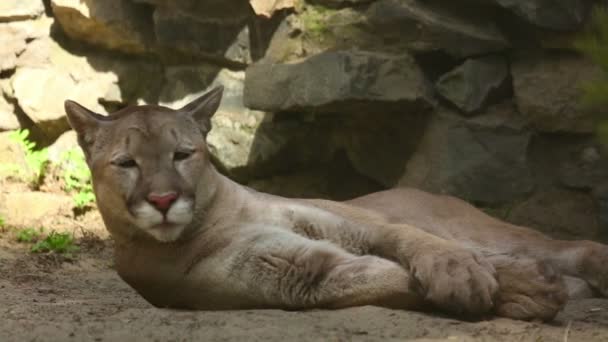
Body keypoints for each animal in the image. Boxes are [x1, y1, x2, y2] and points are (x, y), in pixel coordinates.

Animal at [64, 85, 604, 320]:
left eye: (182, 154)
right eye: (126, 163)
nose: (162, 198)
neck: (219, 216)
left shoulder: (342, 216)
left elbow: (408, 239)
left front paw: (460, 271)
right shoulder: (305, 273)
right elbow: (387, 278)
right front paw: (522, 290)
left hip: (493, 230)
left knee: (565, 246)